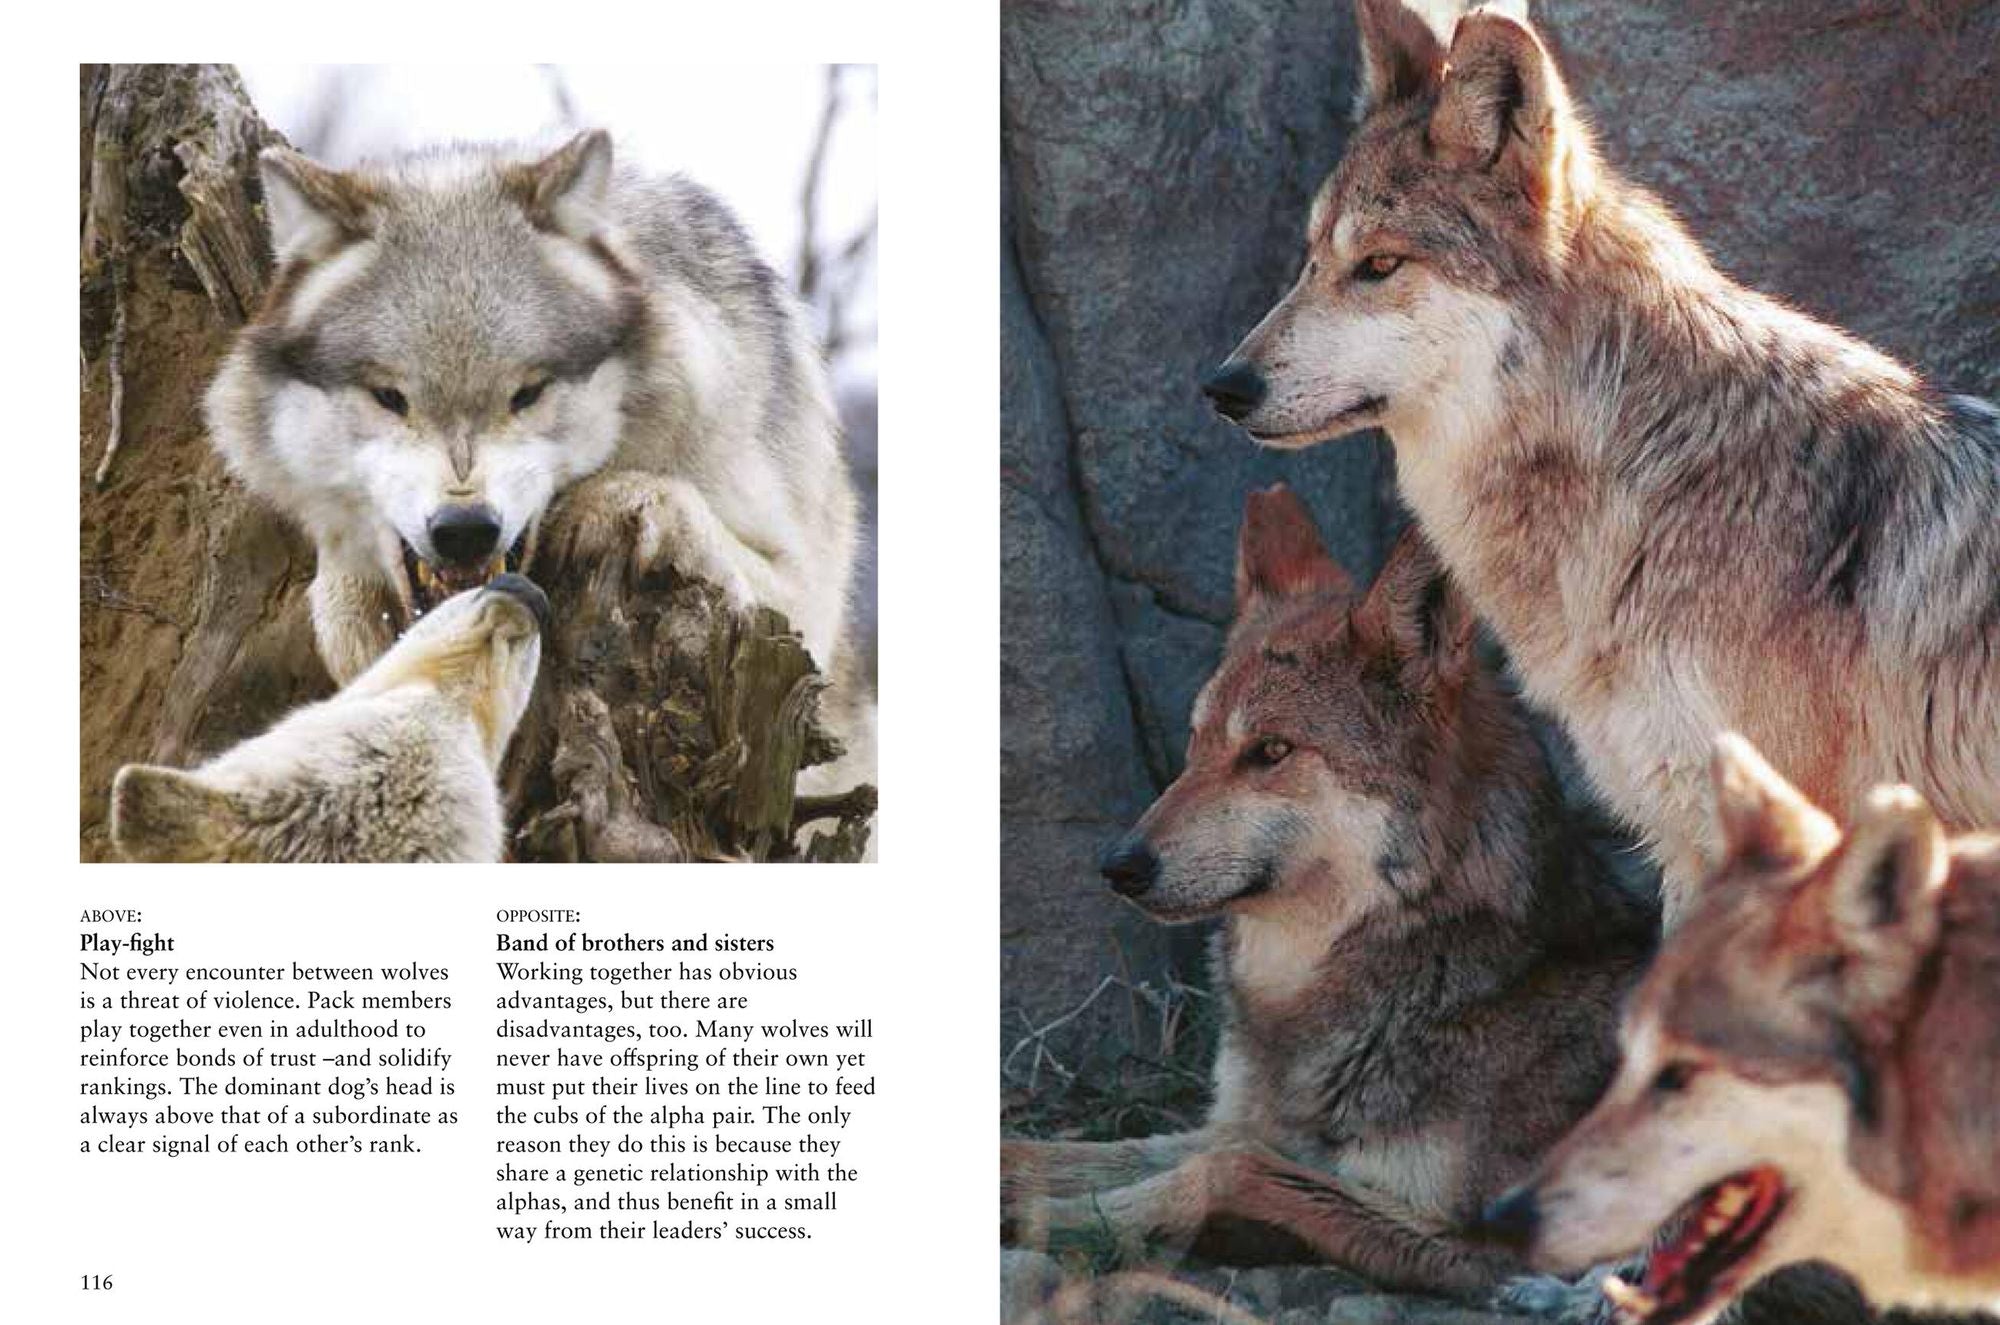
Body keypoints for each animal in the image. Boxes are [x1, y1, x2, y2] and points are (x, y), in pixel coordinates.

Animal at [204, 129, 872, 797]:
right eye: (390, 398)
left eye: (526, 393)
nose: (464, 530)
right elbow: (339, 598)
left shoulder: (804, 596)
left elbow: (671, 504)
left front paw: (613, 503)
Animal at [1000, 487, 1655, 1297]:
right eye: (1196, 745)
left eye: (1271, 751)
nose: (1118, 864)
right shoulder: (1239, 1124)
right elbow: (1063, 1154)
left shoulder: (1491, 1249)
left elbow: (1225, 1171)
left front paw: (1067, 1221)